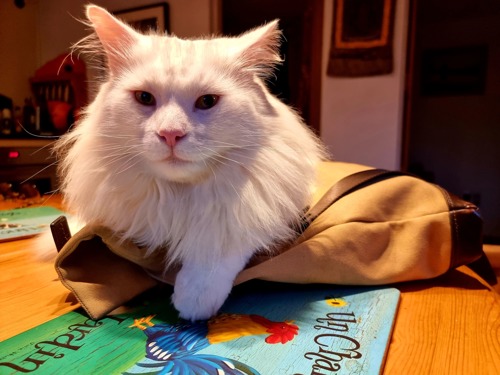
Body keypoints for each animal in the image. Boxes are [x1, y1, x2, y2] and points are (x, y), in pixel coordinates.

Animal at [54, 4, 326, 322]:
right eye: (144, 98)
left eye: (207, 101)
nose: (170, 134)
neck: (178, 198)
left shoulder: (258, 209)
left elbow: (217, 250)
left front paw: (192, 300)